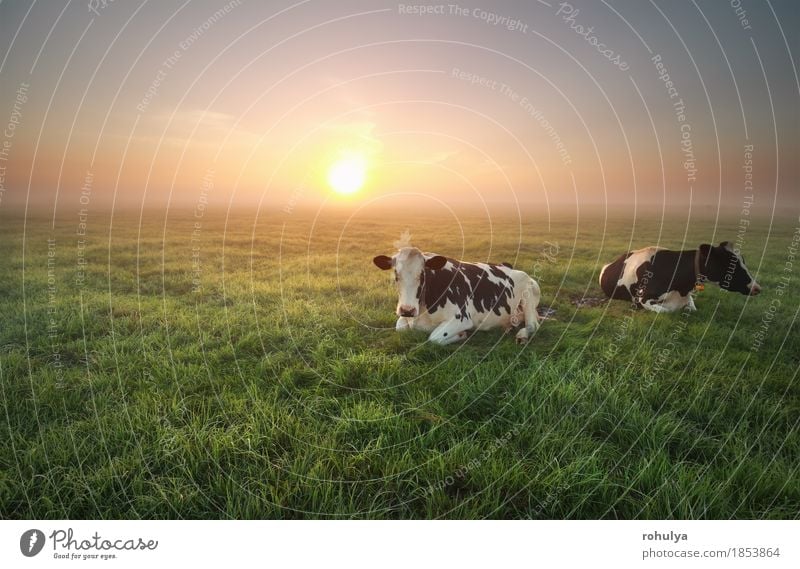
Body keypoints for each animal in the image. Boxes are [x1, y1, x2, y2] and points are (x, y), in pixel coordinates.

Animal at [372, 246, 540, 344]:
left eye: (422, 274)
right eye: (396, 274)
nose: (407, 310)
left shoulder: (461, 318)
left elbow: (434, 338)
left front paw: (462, 335)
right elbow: (400, 327)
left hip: (529, 292)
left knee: (533, 324)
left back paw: (522, 335)